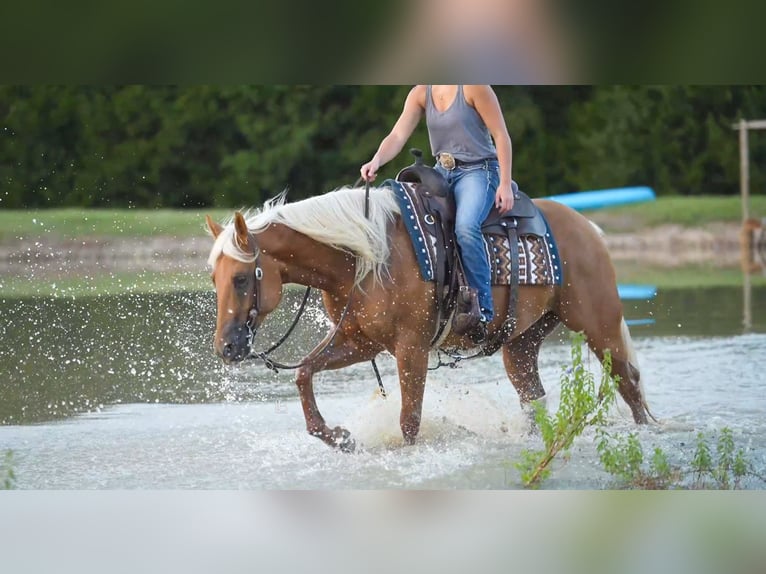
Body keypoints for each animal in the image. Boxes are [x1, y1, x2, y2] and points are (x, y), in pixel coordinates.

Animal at [205, 186, 651, 451]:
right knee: (533, 397)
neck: (365, 259)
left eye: (241, 278)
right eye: (214, 277)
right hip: (522, 342)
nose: (226, 347)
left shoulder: (412, 348)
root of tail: (588, 226)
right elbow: (304, 373)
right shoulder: (360, 341)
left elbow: (409, 420)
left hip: (598, 325)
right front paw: (339, 437)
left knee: (628, 383)